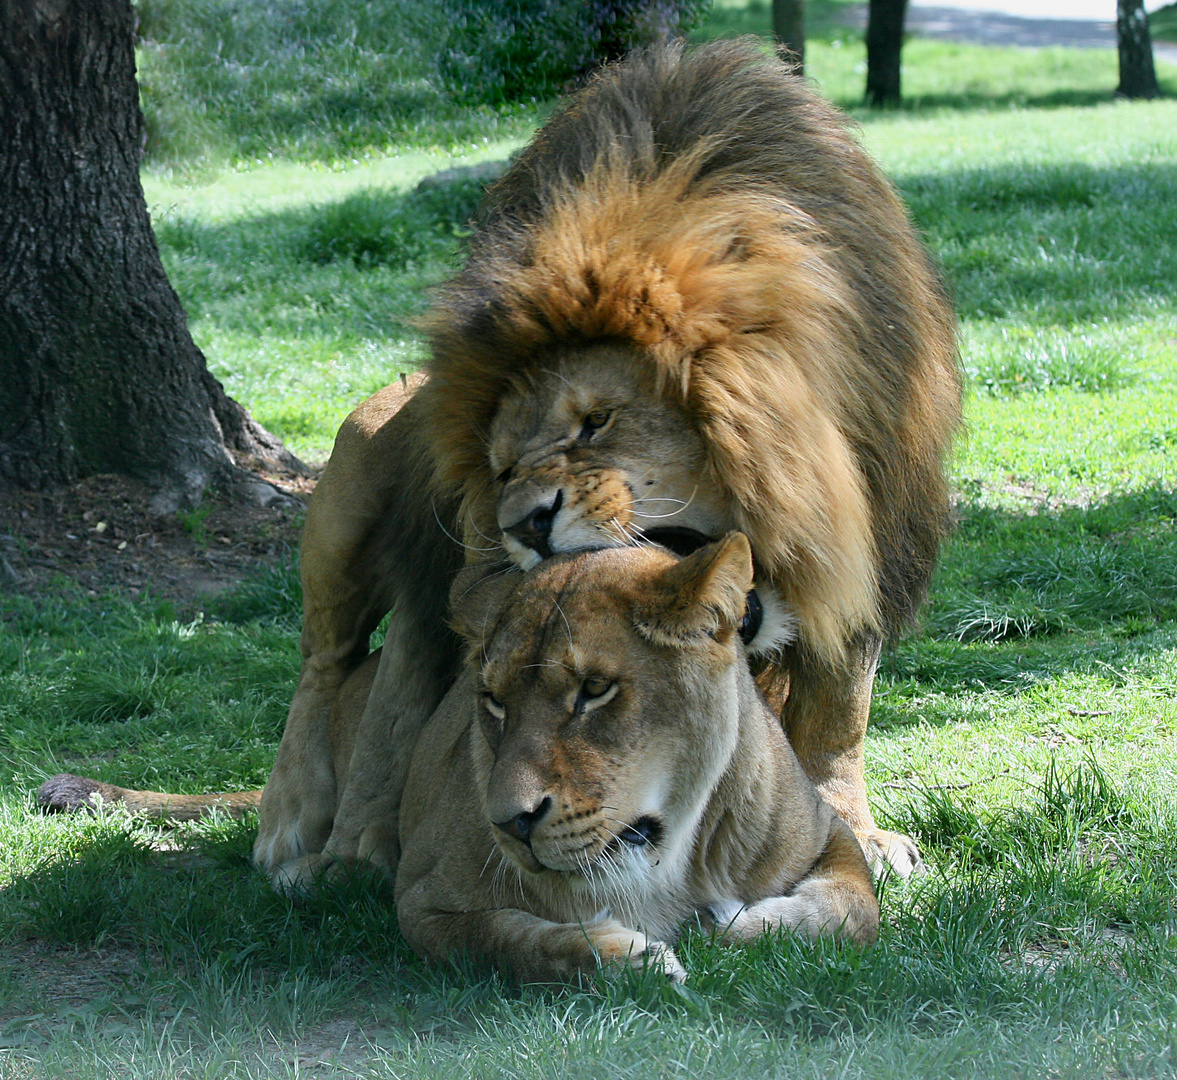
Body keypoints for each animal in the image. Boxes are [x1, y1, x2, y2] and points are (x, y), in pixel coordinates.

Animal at [41, 536, 880, 983]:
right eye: (494, 700)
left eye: (595, 691)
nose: (511, 822)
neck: (658, 856)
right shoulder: (423, 900)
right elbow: (513, 939)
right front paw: (628, 956)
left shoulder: (829, 837)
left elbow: (850, 908)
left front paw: (737, 927)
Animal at [253, 37, 960, 894]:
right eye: (501, 468)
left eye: (596, 421)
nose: (526, 525)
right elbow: (406, 688)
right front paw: (361, 845)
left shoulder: (874, 524)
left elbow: (839, 708)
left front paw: (850, 823)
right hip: (357, 471)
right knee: (335, 662)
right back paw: (309, 829)